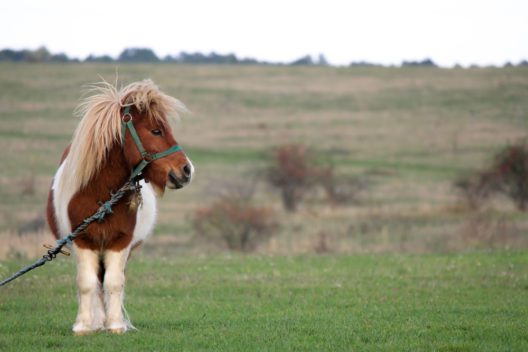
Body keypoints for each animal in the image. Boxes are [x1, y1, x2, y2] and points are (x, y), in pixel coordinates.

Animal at [46, 80, 194, 336]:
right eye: (156, 130)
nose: (187, 170)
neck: (98, 195)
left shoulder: (120, 243)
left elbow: (114, 282)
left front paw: (115, 325)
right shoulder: (82, 241)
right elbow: (87, 284)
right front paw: (84, 326)